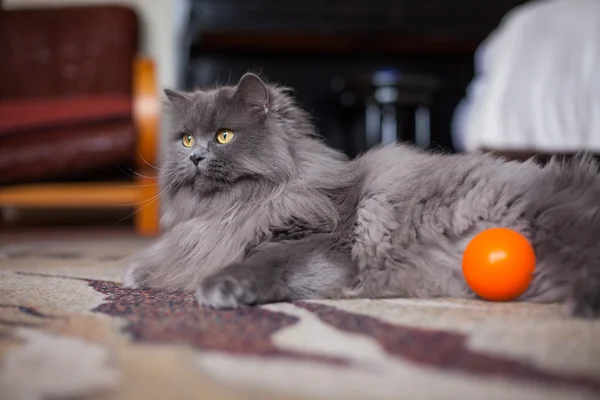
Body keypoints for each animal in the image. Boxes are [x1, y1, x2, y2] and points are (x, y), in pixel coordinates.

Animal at [122, 72, 600, 318]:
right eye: (186, 139)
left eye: (223, 136)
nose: (196, 157)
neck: (233, 209)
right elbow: (169, 260)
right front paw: (135, 274)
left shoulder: (321, 243)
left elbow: (259, 262)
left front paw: (220, 288)